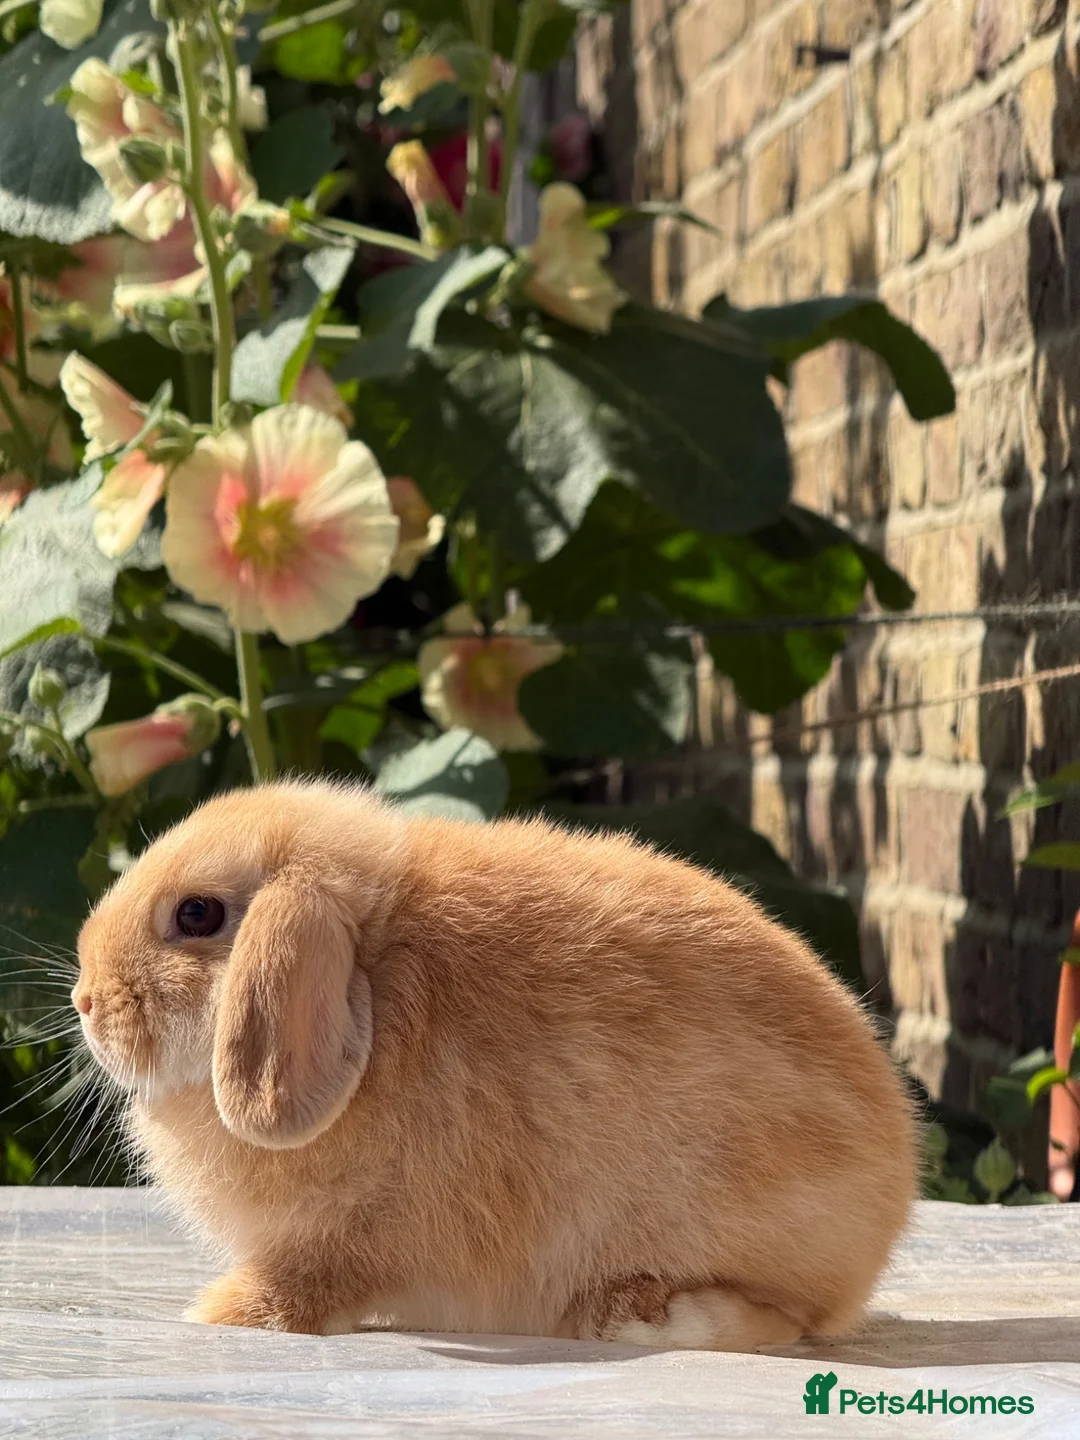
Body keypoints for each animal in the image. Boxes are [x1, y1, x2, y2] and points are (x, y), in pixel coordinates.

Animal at [73, 779, 917, 1349]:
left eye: (196, 914)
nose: (85, 1000)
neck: (378, 977)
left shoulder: (344, 1239)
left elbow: (303, 1287)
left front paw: (220, 1312)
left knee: (785, 1318)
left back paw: (631, 1316)